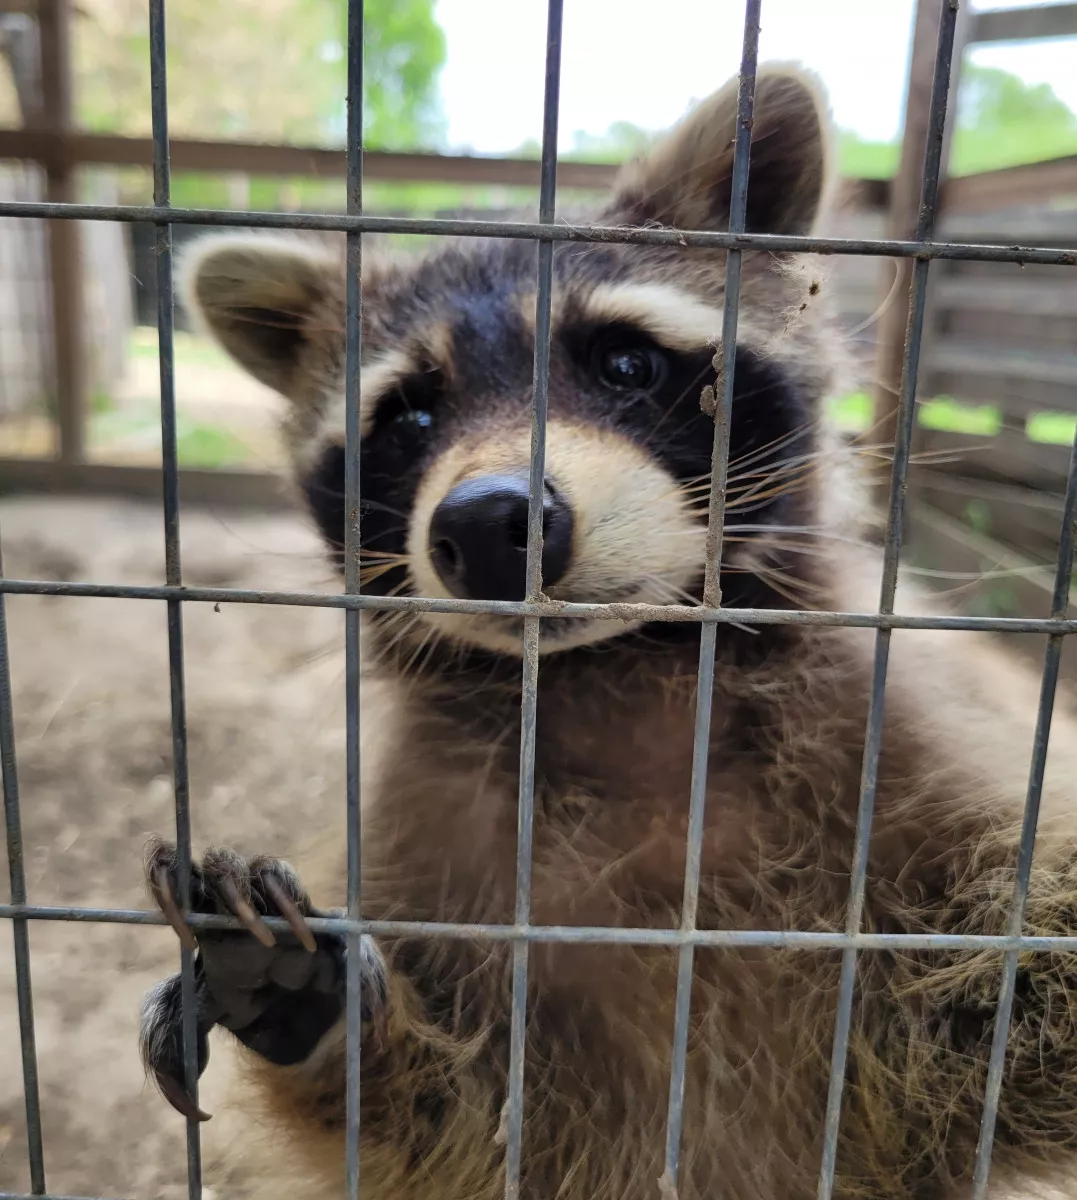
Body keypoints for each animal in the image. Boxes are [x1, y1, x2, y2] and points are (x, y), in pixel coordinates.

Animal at [138, 68, 1074, 1200]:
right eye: (410, 419)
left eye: (625, 362)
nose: (487, 524)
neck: (618, 675)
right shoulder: (437, 837)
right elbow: (446, 1133)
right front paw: (329, 1021)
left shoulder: (897, 754)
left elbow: (991, 1032)